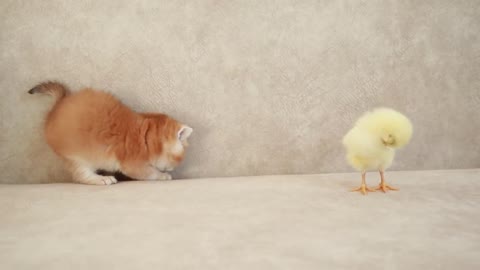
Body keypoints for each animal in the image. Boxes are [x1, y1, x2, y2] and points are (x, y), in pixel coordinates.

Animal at [28, 81, 192, 185]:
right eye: (179, 159)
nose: (174, 169)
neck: (146, 135)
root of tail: (57, 107)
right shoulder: (134, 165)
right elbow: (151, 173)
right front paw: (164, 175)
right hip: (76, 157)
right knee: (81, 175)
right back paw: (101, 179)